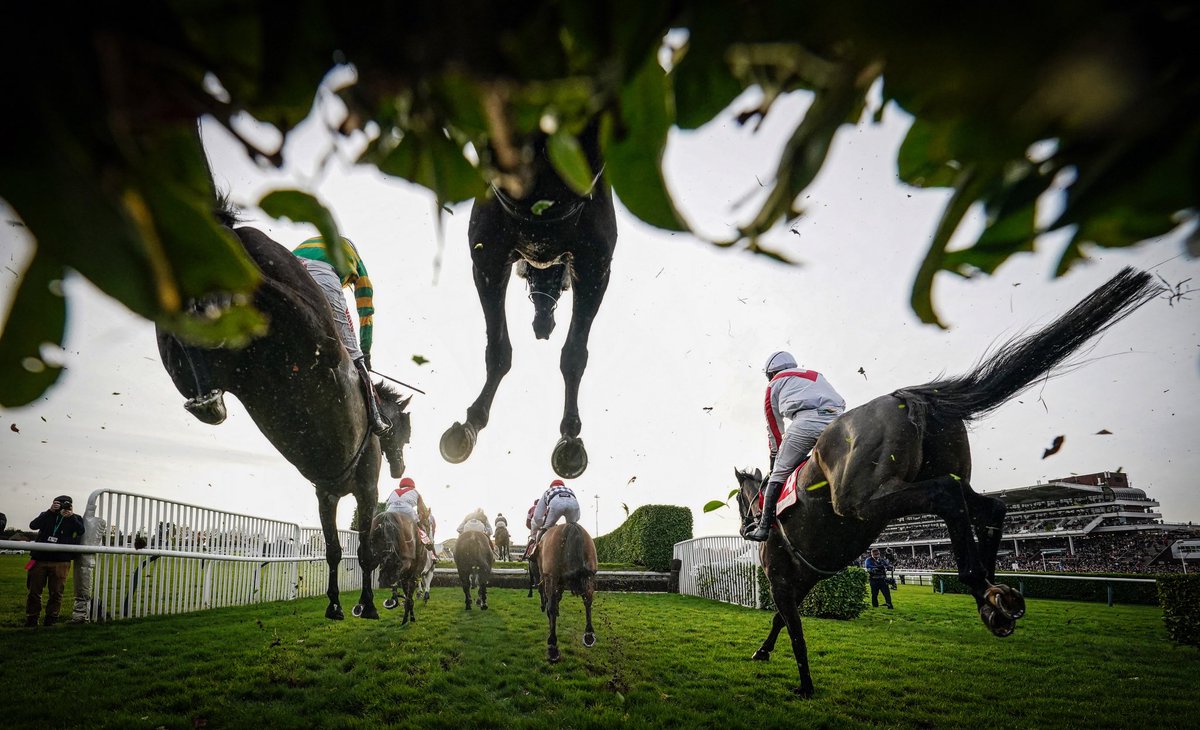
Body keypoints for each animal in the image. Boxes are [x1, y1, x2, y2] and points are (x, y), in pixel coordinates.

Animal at [157, 205, 410, 619]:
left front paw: (335, 604)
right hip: (304, 321)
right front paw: (365, 605)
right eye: (407, 431)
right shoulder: (365, 488)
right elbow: (364, 551)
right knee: (259, 291)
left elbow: (334, 549)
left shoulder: (326, 493)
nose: (400, 468)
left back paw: (208, 397)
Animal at [439, 121, 619, 480]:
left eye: (561, 289)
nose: (542, 326)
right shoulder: (488, 257)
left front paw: (570, 436)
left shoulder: (595, 266)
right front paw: (470, 423)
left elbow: (574, 354)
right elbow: (498, 350)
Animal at [537, 518, 597, 662]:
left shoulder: (550, 577)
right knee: (588, 600)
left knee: (551, 603)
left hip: (552, 576)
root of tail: (573, 527)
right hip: (589, 575)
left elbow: (551, 603)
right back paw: (589, 634)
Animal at [729, 266, 1161, 696]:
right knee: (990, 505)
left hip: (864, 500)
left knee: (947, 495)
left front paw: (803, 683)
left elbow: (794, 628)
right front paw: (765, 652)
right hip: (940, 476)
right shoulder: (801, 580)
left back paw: (978, 582)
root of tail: (906, 397)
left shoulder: (782, 580)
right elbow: (782, 621)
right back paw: (991, 594)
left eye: (737, 503)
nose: (747, 525)